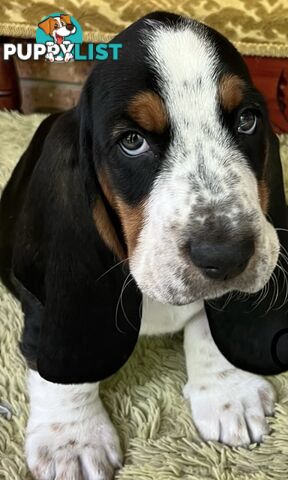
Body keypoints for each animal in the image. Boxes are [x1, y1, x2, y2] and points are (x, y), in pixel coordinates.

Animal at [0, 10, 284, 480]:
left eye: (247, 121)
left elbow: (207, 322)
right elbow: (58, 369)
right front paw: (71, 440)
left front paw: (228, 390)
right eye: (132, 142)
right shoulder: (48, 308)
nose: (226, 258)